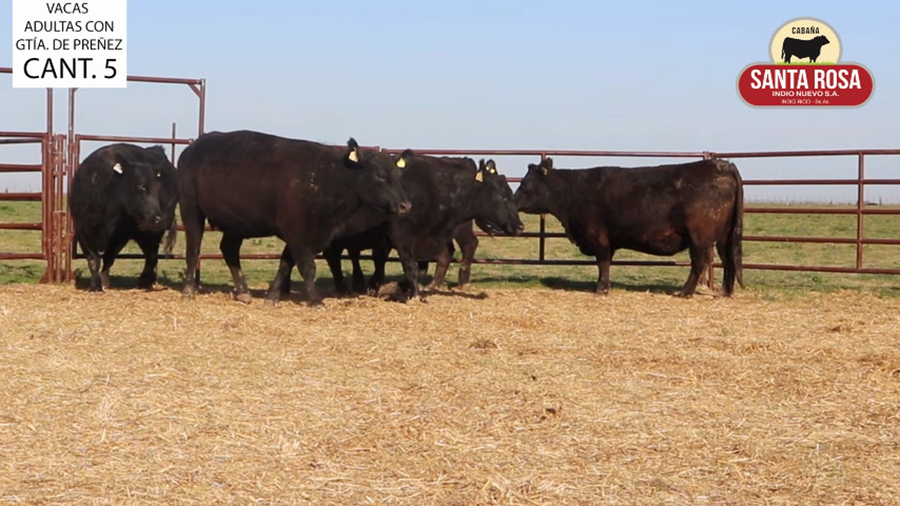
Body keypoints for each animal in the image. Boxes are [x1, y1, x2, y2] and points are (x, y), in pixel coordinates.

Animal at [68, 143, 178, 292]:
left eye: (158, 188)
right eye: (141, 185)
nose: (157, 217)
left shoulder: (121, 234)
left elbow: (109, 256)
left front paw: (103, 281)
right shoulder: (82, 229)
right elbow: (93, 259)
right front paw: (96, 285)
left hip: (150, 232)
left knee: (151, 255)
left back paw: (144, 281)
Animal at [176, 130, 412, 307]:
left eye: (399, 175)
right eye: (380, 175)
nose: (405, 205)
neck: (326, 178)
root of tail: (195, 145)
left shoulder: (300, 234)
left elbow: (285, 264)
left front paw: (272, 297)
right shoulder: (298, 233)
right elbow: (307, 266)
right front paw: (315, 300)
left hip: (237, 223)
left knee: (229, 250)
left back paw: (243, 291)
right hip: (191, 209)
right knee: (193, 249)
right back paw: (189, 290)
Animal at [271, 155, 524, 303]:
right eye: (503, 195)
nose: (520, 226)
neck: (432, 190)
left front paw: (394, 287)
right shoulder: (401, 237)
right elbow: (410, 267)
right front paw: (413, 294)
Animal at [513, 156, 744, 297]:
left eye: (524, 183)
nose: (513, 202)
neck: (574, 191)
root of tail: (720, 164)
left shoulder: (597, 235)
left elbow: (603, 262)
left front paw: (601, 289)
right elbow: (607, 262)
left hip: (699, 236)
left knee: (700, 261)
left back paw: (684, 292)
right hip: (724, 234)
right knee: (727, 258)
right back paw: (725, 292)